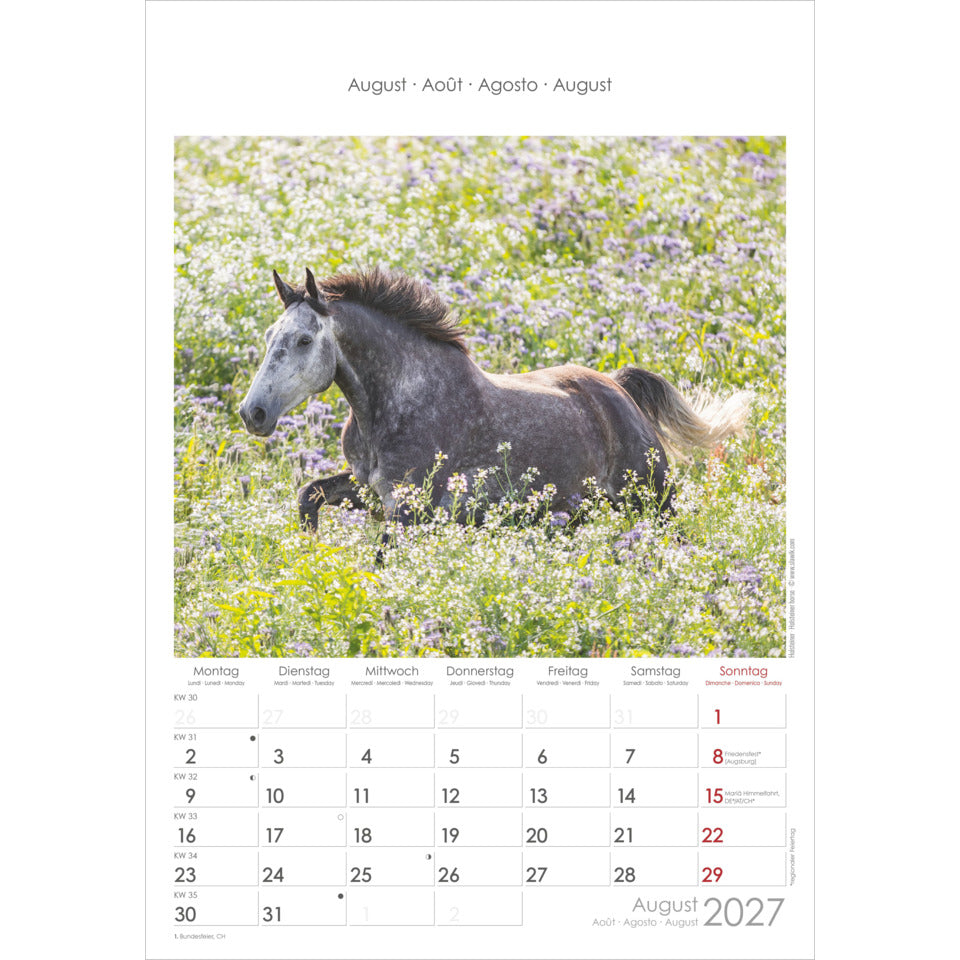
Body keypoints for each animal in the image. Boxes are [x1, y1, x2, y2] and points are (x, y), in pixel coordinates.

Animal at [238, 267, 750, 530]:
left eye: (305, 340)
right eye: (269, 336)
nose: (253, 413)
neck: (396, 404)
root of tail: (619, 388)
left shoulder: (408, 508)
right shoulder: (369, 490)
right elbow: (309, 494)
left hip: (652, 501)